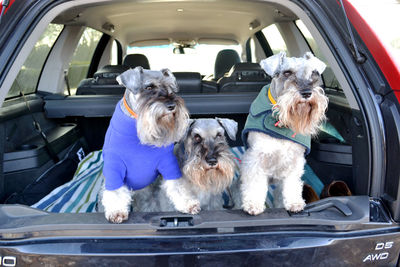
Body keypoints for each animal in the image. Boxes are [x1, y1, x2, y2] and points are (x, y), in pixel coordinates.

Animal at [101, 66, 190, 224]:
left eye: (170, 88)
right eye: (149, 87)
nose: (172, 105)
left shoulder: (168, 163)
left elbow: (177, 185)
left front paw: (188, 203)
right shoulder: (114, 167)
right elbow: (115, 192)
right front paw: (117, 211)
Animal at [241, 51, 328, 216]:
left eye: (313, 73)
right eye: (287, 72)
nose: (306, 93)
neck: (282, 123)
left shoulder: (295, 160)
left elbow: (292, 184)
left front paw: (294, 203)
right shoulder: (256, 158)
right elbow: (255, 183)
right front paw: (253, 204)